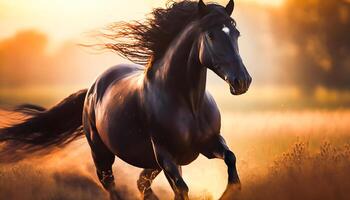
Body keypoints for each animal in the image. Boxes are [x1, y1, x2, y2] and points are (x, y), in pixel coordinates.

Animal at [0, 0, 252, 199]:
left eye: (236, 34)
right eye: (211, 35)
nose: (242, 81)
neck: (189, 105)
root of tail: (93, 88)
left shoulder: (209, 144)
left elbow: (231, 160)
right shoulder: (165, 154)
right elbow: (181, 189)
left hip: (151, 163)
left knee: (141, 183)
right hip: (102, 154)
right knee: (111, 185)